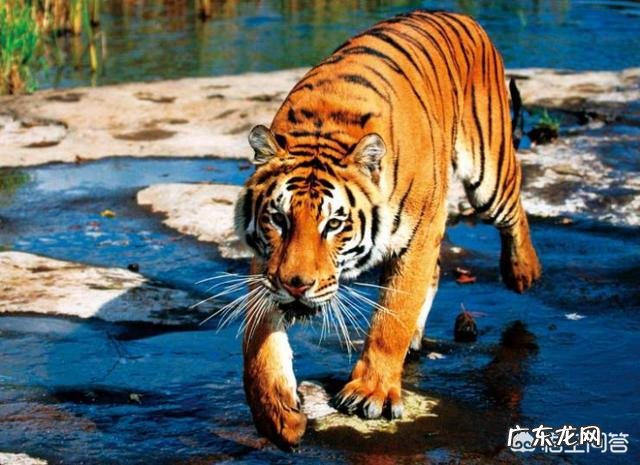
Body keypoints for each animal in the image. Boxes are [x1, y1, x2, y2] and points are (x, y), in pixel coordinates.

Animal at [234, 9, 541, 449]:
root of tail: (460, 14)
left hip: (488, 172)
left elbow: (392, 316)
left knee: (514, 208)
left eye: (334, 224)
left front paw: (372, 393)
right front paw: (276, 413)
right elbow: (257, 341)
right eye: (279, 219)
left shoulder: (419, 234)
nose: (296, 285)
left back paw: (523, 271)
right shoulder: (267, 262)